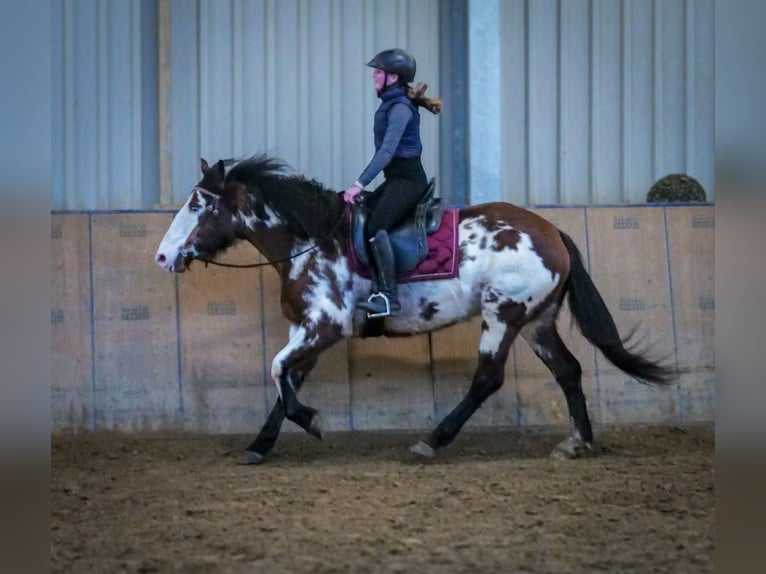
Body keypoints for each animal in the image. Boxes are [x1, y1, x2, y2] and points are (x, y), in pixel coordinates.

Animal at [158, 155, 680, 466]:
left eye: (198, 205)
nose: (163, 257)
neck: (310, 240)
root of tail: (551, 231)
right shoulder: (306, 330)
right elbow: (285, 379)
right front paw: (259, 445)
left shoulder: (323, 328)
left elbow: (276, 372)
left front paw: (313, 423)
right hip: (537, 321)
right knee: (568, 370)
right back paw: (578, 441)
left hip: (503, 314)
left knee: (488, 379)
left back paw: (432, 440)